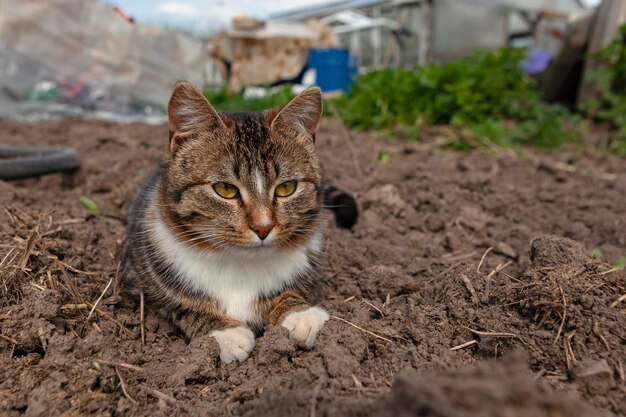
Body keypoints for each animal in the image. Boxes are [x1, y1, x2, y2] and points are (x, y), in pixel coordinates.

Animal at [122, 81, 356, 360]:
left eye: (286, 188)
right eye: (225, 189)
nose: (263, 227)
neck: (241, 265)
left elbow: (297, 288)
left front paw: (299, 314)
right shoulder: (138, 278)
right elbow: (178, 304)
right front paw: (227, 333)